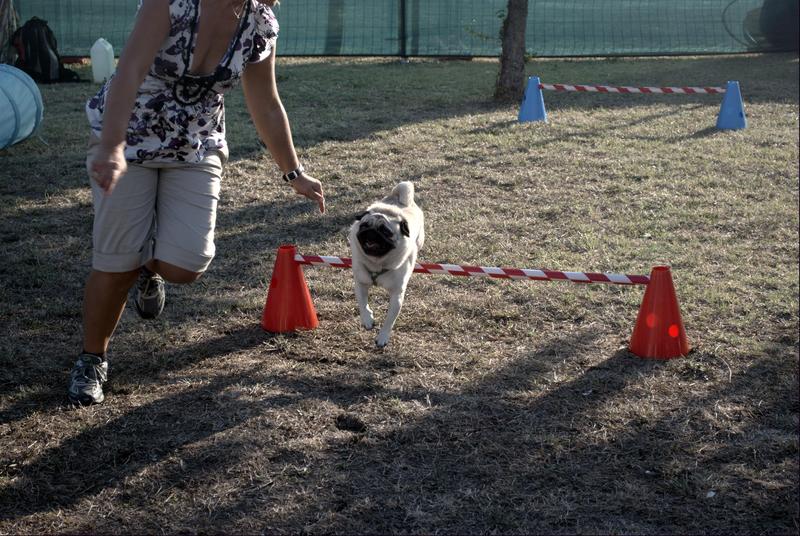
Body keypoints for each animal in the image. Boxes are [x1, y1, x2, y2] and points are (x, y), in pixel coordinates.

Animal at [349, 181, 425, 347]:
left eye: (385, 231)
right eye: (364, 226)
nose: (371, 232)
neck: (377, 262)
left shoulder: (396, 295)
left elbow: (389, 320)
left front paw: (382, 337)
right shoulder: (361, 283)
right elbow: (363, 304)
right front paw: (368, 319)